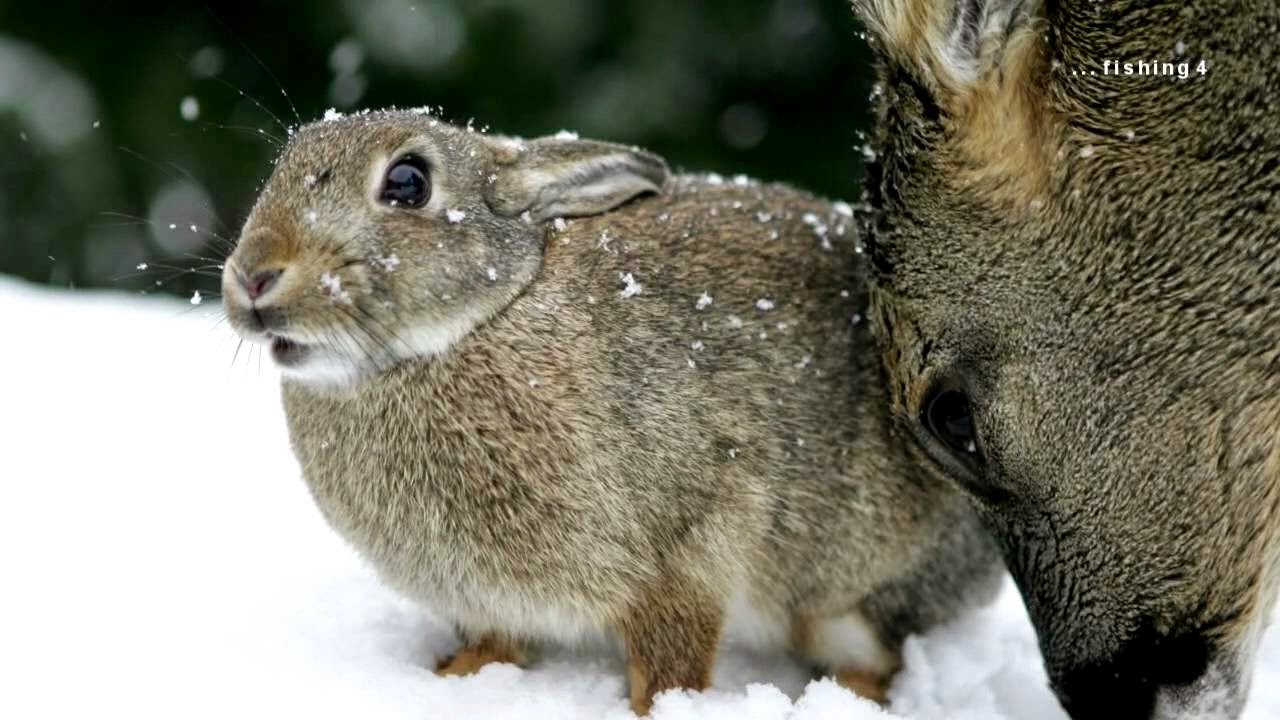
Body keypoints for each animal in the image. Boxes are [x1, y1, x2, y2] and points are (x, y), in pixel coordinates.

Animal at [220, 109, 1002, 715]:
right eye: (283, 165)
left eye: (408, 182)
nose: (253, 276)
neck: (479, 321)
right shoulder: (490, 604)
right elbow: (495, 645)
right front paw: (455, 678)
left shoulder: (688, 551)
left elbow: (671, 661)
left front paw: (657, 711)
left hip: (850, 593)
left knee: (880, 660)